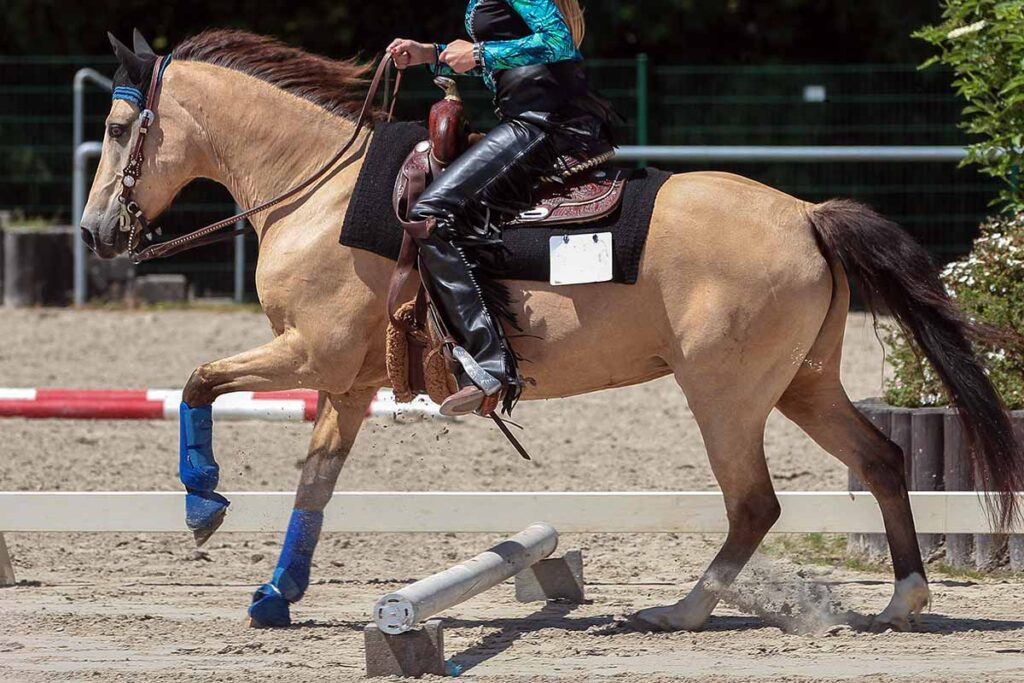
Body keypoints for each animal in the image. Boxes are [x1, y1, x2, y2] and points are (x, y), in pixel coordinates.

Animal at [81, 29, 1024, 634]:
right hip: (804, 384)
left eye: (122, 128)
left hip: (725, 396)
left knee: (755, 501)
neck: (316, 191)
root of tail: (805, 213)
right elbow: (314, 484)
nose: (95, 232)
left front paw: (204, 504)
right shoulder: (346, 384)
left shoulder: (308, 354)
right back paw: (901, 602)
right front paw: (276, 595)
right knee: (882, 459)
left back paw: (678, 611)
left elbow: (200, 380)